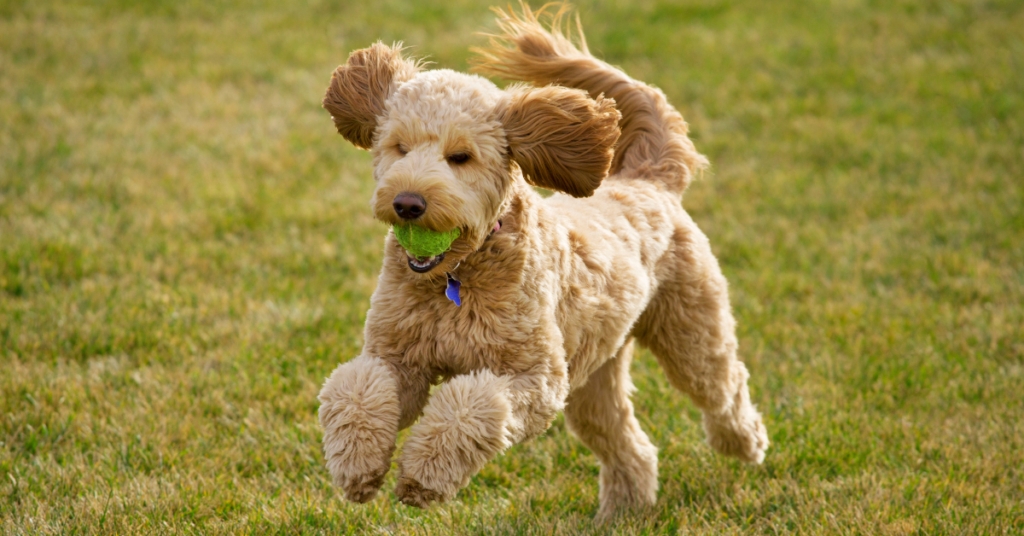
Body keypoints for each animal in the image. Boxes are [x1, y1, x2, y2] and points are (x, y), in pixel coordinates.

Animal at [317, 1, 770, 520]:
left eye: (461, 157)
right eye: (399, 147)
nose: (408, 203)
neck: (458, 278)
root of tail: (650, 180)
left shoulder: (536, 377)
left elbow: (473, 406)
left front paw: (423, 477)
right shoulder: (398, 359)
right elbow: (355, 389)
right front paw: (358, 467)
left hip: (692, 333)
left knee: (724, 387)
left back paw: (746, 443)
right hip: (594, 375)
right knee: (626, 441)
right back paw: (623, 511)